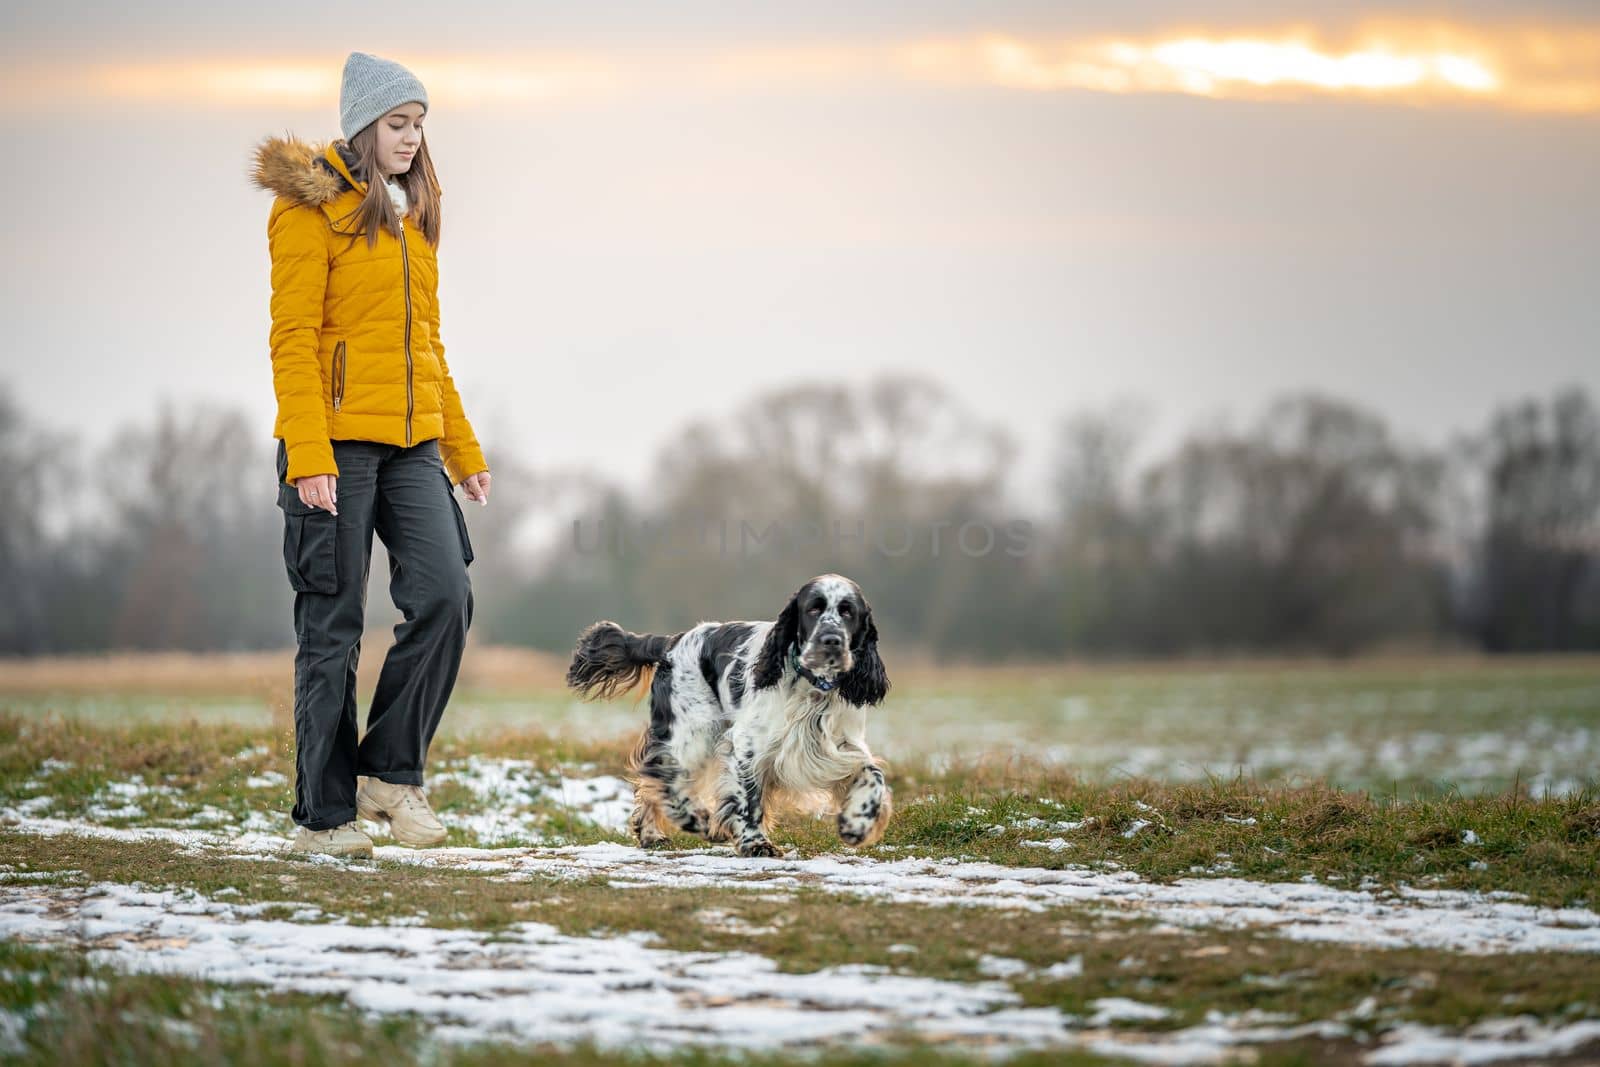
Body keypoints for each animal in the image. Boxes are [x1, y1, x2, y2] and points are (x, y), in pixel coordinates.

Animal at [563, 575, 889, 857]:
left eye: (848, 612)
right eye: (813, 609)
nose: (831, 640)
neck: (813, 689)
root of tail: (672, 642)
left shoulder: (840, 746)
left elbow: (873, 774)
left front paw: (858, 822)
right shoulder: (749, 744)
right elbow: (749, 798)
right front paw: (756, 843)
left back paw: (656, 834)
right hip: (694, 732)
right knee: (662, 776)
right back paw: (695, 823)